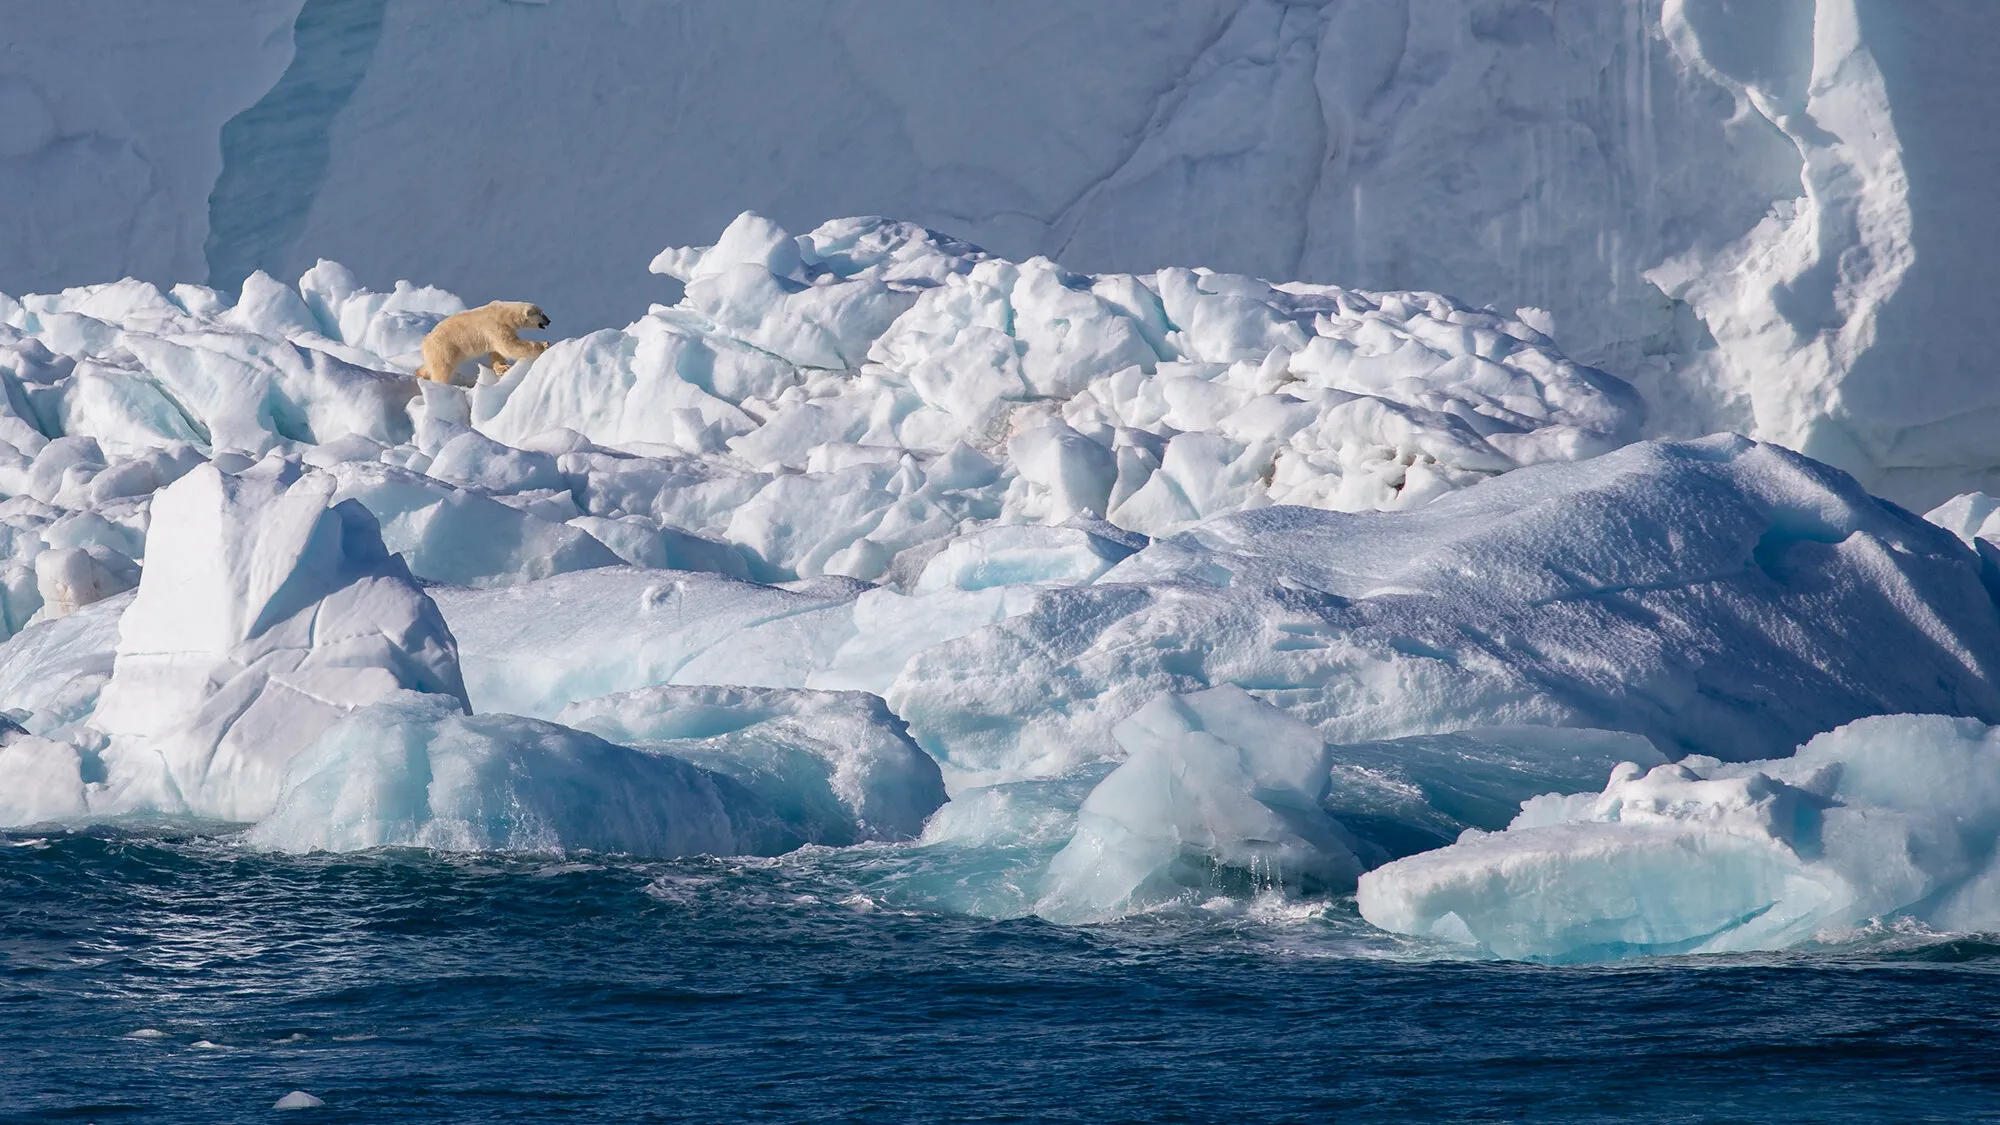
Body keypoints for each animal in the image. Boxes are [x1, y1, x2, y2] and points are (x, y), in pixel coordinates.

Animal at [413, 300, 551, 383]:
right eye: (541, 314)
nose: (549, 321)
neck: (503, 313)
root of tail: (424, 342)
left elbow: (497, 352)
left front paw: (502, 368)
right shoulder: (494, 325)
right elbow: (509, 346)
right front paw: (544, 345)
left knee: (429, 366)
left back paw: (419, 374)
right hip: (444, 348)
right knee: (442, 369)